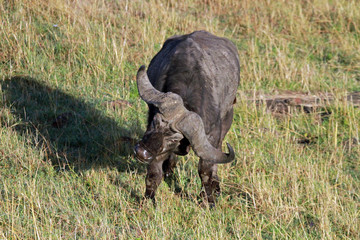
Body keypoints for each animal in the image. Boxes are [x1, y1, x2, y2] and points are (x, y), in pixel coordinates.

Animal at [133, 30, 239, 205]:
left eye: (174, 138)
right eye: (154, 122)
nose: (142, 152)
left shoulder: (212, 135)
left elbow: (205, 170)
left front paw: (208, 200)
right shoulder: (158, 148)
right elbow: (154, 172)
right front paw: (148, 199)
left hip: (228, 117)